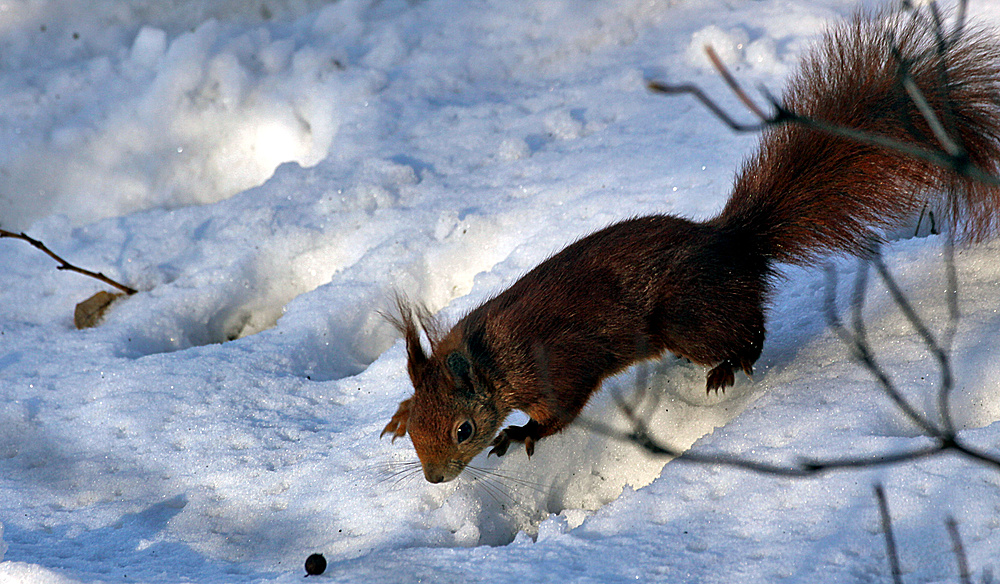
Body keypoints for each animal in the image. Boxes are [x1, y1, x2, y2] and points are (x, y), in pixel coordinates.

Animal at [376, 10, 1000, 484]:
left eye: (463, 430)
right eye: (419, 437)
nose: (435, 478)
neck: (489, 355)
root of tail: (733, 241)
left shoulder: (555, 362)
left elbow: (562, 409)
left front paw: (522, 434)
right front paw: (396, 415)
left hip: (687, 314)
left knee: (749, 330)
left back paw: (729, 366)